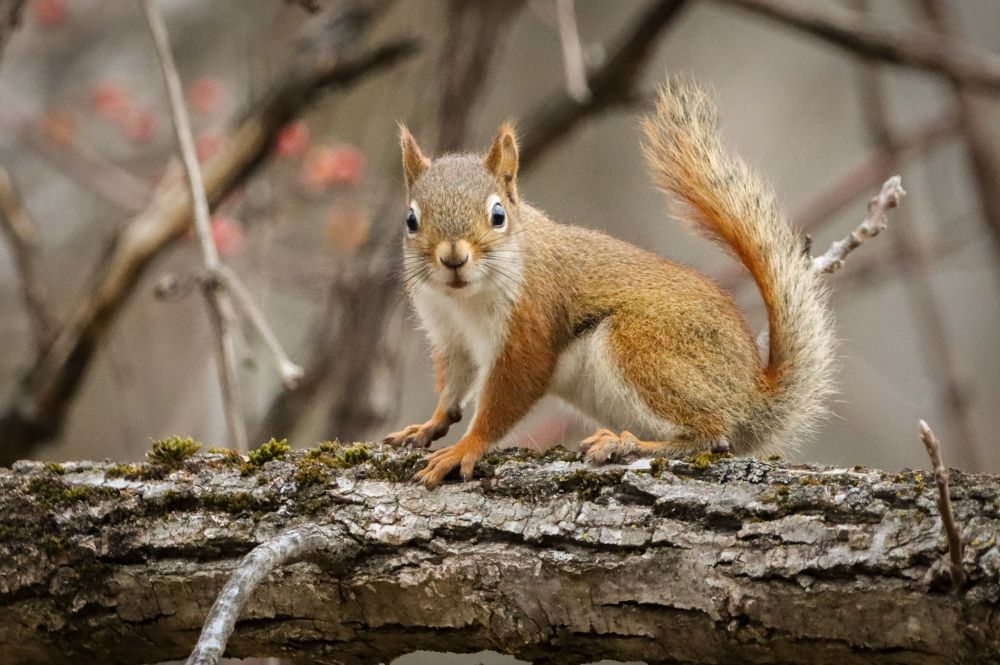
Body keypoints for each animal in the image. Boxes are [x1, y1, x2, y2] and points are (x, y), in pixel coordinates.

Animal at [383, 76, 835, 488]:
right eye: (410, 220)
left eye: (498, 216)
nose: (453, 259)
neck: (464, 300)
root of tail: (753, 395)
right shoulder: (449, 335)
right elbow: (453, 387)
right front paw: (426, 426)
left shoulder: (531, 324)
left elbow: (507, 397)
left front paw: (465, 448)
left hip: (643, 348)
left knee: (713, 435)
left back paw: (626, 444)